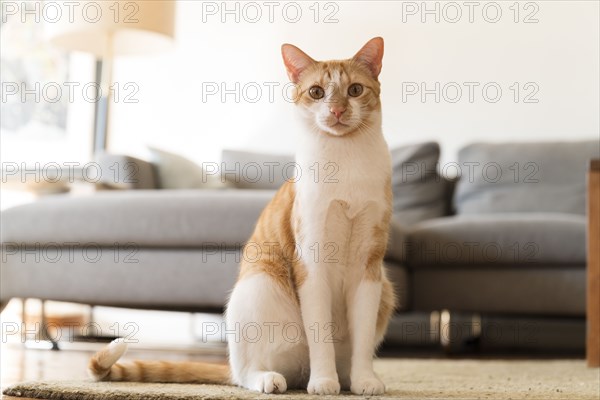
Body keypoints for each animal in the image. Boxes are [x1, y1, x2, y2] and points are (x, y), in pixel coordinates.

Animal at [88, 37, 394, 396]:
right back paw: (275, 379)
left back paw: (343, 378)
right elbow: (320, 334)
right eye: (317, 92)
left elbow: (363, 339)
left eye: (355, 90)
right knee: (249, 372)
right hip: (259, 283)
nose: (337, 110)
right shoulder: (312, 262)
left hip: (386, 288)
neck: (346, 163)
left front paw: (364, 381)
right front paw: (323, 382)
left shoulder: (369, 266)